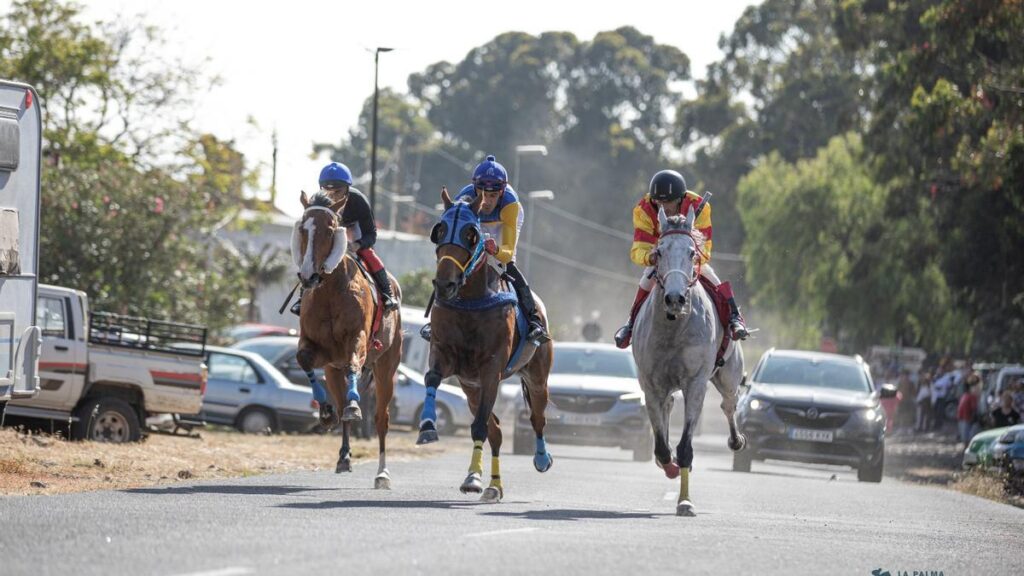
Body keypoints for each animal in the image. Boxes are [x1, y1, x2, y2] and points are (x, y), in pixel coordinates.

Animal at [290, 190, 401, 485]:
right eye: (303, 228)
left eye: (330, 230)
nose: (308, 275)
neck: (329, 291)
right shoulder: (320, 350)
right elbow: (303, 359)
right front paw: (325, 412)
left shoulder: (357, 339)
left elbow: (353, 363)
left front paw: (353, 405)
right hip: (332, 370)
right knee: (343, 412)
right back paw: (344, 457)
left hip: (387, 366)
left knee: (381, 418)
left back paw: (382, 473)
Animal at [413, 186, 552, 500]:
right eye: (439, 230)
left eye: (471, 234)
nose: (445, 285)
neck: (471, 300)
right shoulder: (445, 353)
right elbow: (431, 377)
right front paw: (427, 426)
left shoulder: (492, 370)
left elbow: (478, 428)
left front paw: (472, 479)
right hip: (470, 387)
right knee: (497, 429)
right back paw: (493, 485)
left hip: (536, 376)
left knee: (537, 418)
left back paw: (540, 459)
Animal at [626, 203, 749, 512]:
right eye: (659, 252)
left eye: (692, 252)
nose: (674, 299)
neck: (673, 327)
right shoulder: (650, 384)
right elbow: (661, 447)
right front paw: (667, 464)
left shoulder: (695, 383)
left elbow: (685, 447)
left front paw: (685, 502)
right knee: (669, 407)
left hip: (728, 377)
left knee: (729, 404)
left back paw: (736, 440)